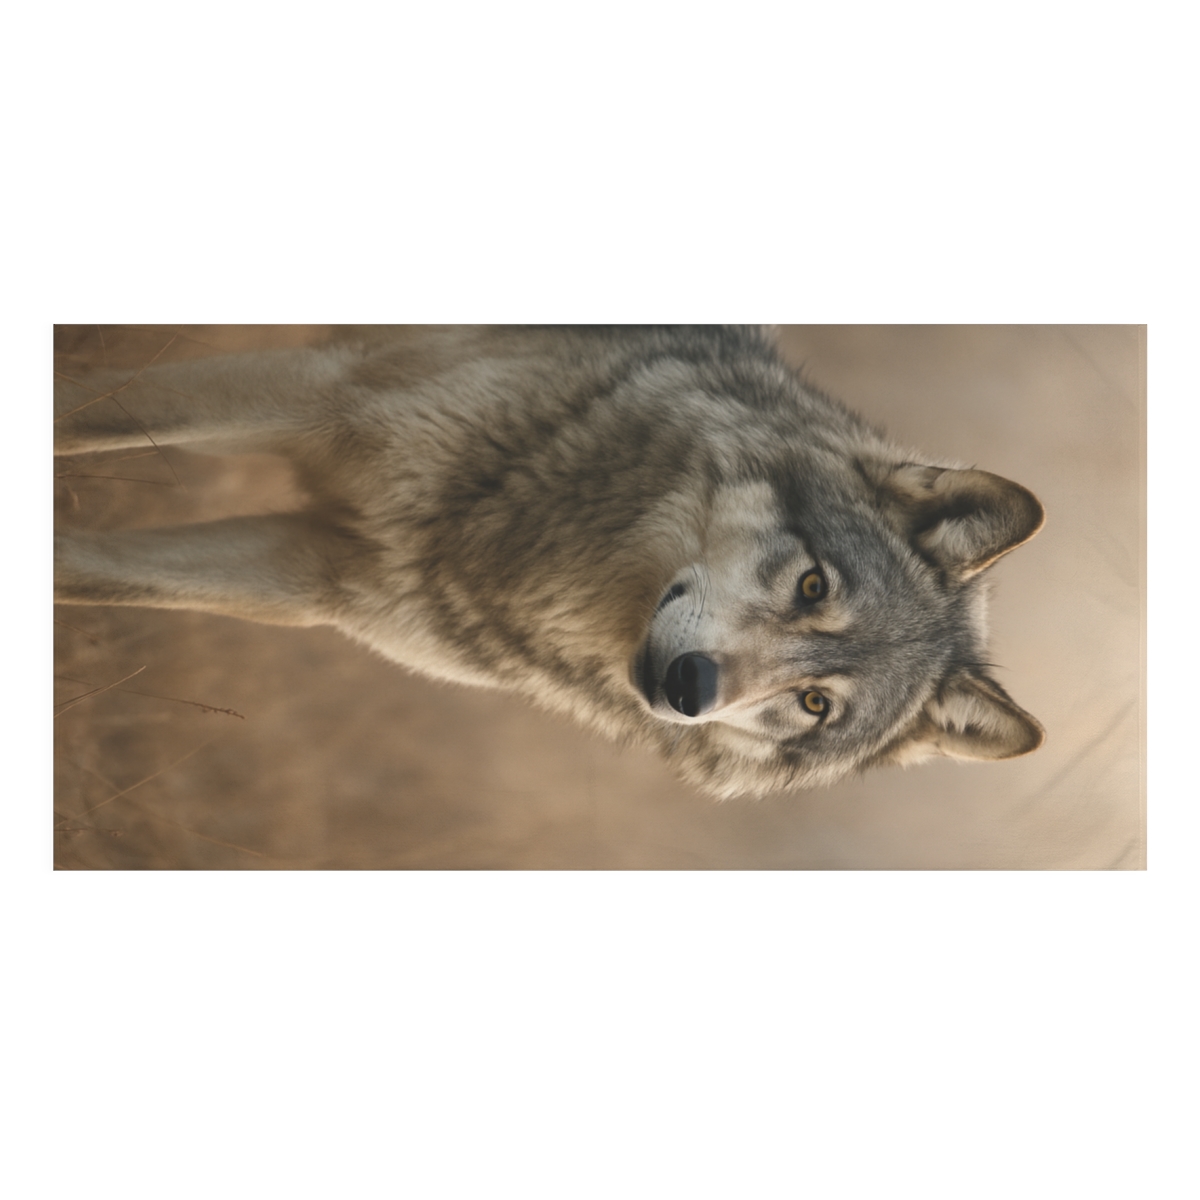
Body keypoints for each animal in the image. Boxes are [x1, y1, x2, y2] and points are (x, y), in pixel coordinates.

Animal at [54, 326, 1045, 798]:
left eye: (814, 705)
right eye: (814, 586)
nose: (689, 686)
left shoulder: (307, 570)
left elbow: (85, 568)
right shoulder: (320, 391)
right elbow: (81, 412)